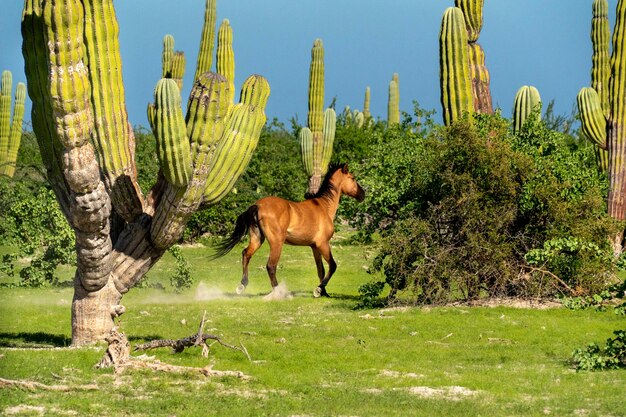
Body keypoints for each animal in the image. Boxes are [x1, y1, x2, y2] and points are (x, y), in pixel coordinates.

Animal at [212, 162, 364, 296]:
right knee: (271, 266)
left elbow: (320, 269)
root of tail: (257, 205)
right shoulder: (323, 244)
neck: (323, 207)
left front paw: (324, 292)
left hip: (257, 239)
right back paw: (279, 291)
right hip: (276, 243)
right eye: (353, 178)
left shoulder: (315, 247)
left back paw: (242, 286)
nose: (363, 194)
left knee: (246, 254)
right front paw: (318, 290)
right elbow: (332, 266)